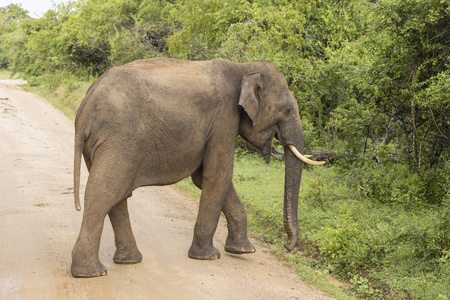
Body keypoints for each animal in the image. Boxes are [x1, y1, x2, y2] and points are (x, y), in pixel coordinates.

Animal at [71, 57, 324, 278]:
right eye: (287, 110)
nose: (288, 247)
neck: (244, 67)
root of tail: (86, 104)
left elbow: (205, 178)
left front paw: (243, 250)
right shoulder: (224, 119)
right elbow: (218, 175)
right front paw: (209, 256)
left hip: (103, 143)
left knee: (116, 194)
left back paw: (129, 261)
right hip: (119, 139)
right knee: (105, 191)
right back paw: (91, 273)